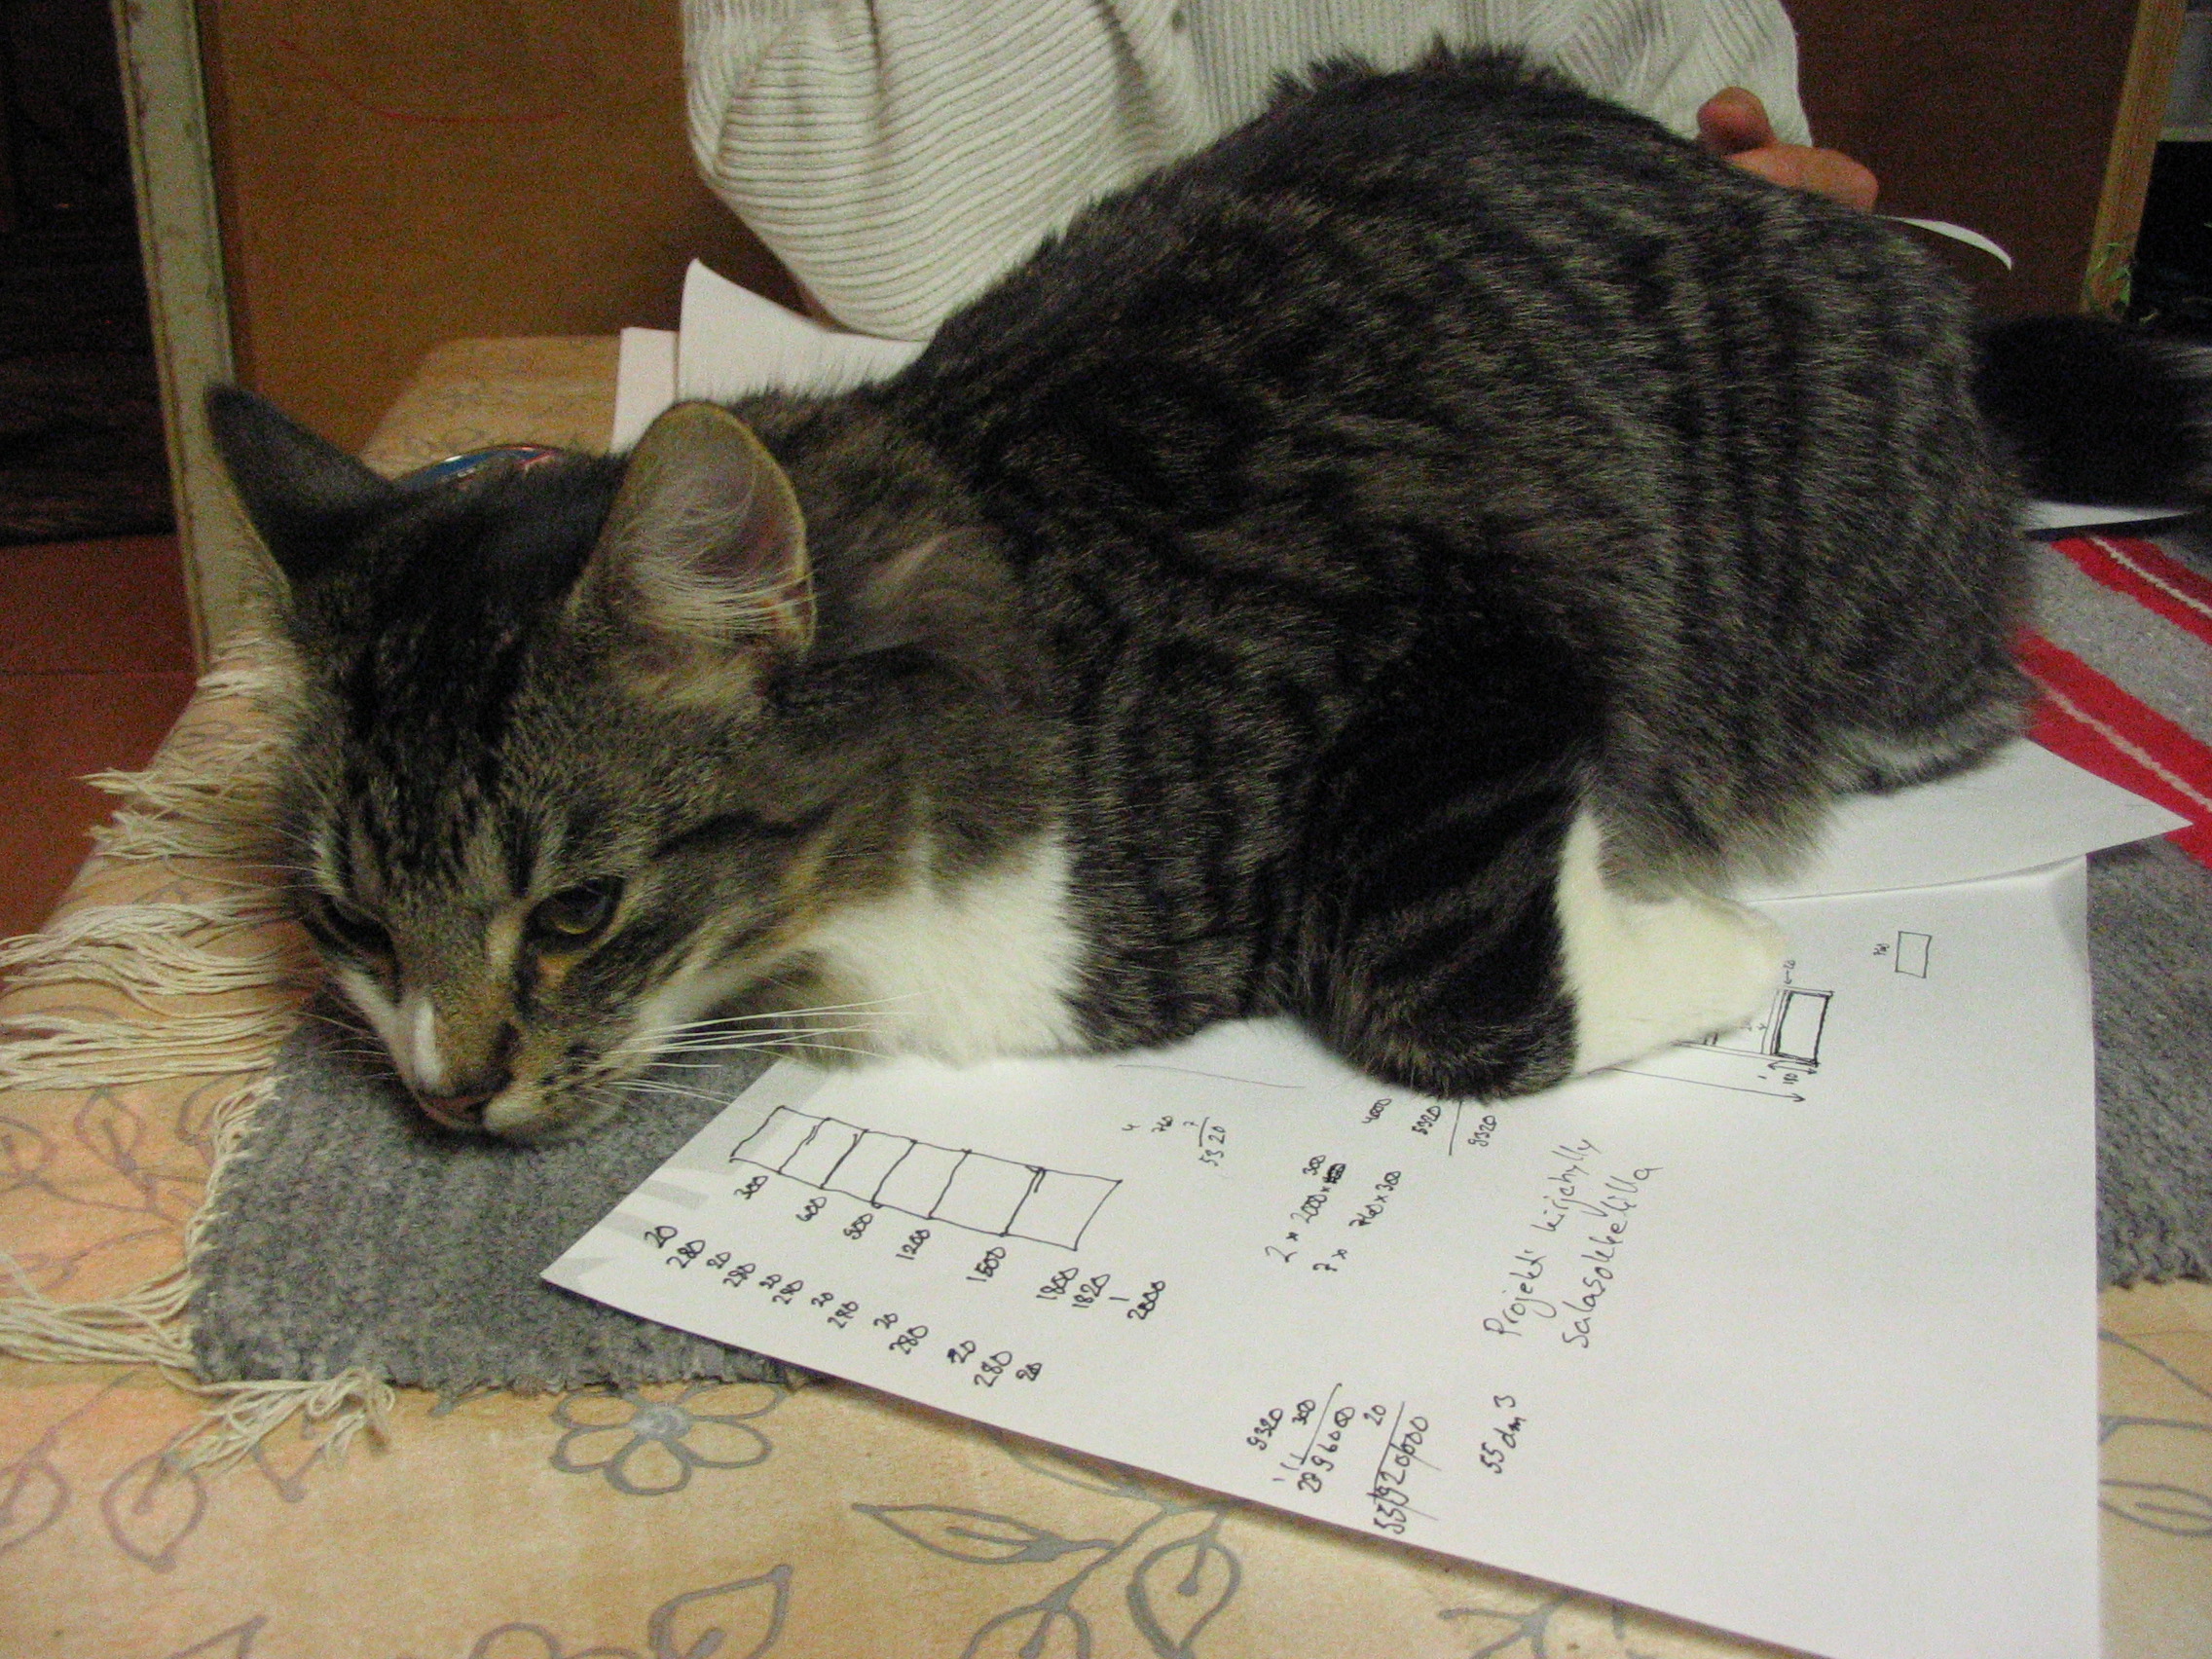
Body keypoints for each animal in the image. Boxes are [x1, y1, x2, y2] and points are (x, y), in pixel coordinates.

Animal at [210, 49, 2210, 1140]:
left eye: (574, 912)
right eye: (353, 925)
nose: (447, 1091)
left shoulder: (1490, 615)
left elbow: (1438, 975)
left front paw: (1709, 945)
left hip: (1859, 598)